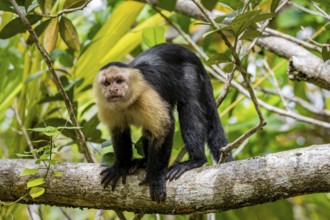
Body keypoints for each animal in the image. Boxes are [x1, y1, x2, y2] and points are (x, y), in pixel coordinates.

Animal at [94, 43, 231, 203]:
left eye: (119, 81)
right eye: (107, 83)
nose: (113, 89)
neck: (127, 103)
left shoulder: (147, 95)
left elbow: (164, 127)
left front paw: (155, 176)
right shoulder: (107, 107)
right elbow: (119, 132)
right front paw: (121, 166)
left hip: (191, 74)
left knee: (189, 106)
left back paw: (196, 160)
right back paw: (143, 162)